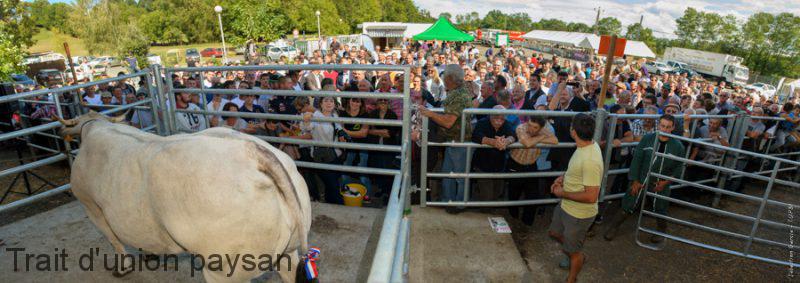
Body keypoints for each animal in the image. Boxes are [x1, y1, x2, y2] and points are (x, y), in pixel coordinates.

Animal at [54, 112, 312, 282]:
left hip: (224, 267)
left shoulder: (91, 205)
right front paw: (148, 254)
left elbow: (113, 239)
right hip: (288, 249)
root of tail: (253, 153)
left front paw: (123, 267)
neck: (96, 127)